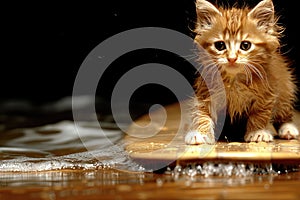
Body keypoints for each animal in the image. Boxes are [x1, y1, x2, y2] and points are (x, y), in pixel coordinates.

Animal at [185, 0, 298, 145]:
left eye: (245, 45)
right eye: (220, 45)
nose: (232, 58)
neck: (234, 79)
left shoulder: (268, 93)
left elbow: (259, 114)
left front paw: (257, 132)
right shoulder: (205, 92)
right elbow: (202, 113)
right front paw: (199, 133)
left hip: (285, 89)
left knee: (284, 112)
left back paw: (288, 129)